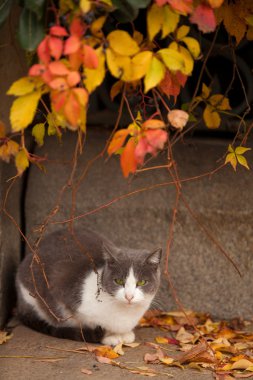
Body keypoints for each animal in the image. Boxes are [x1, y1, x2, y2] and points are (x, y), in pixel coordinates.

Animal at [15, 227, 162, 346]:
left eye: (142, 282)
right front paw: (110, 336)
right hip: (30, 292)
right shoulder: (63, 292)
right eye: (119, 281)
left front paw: (125, 334)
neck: (124, 313)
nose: (129, 296)